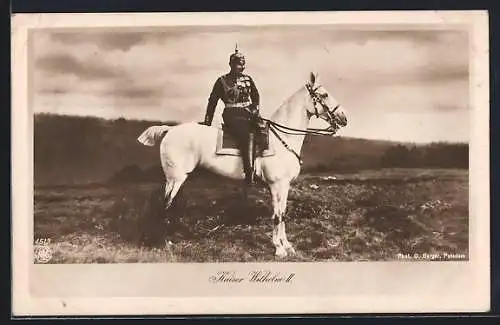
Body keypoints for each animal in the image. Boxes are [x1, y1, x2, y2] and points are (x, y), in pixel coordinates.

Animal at [137, 72, 348, 256]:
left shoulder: (285, 186)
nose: (344, 118)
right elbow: (277, 215)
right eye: (324, 94)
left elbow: (283, 213)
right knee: (164, 205)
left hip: (173, 179)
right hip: (176, 178)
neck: (281, 139)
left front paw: (287, 246)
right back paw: (163, 242)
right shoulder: (276, 185)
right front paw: (279, 249)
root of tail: (169, 130)